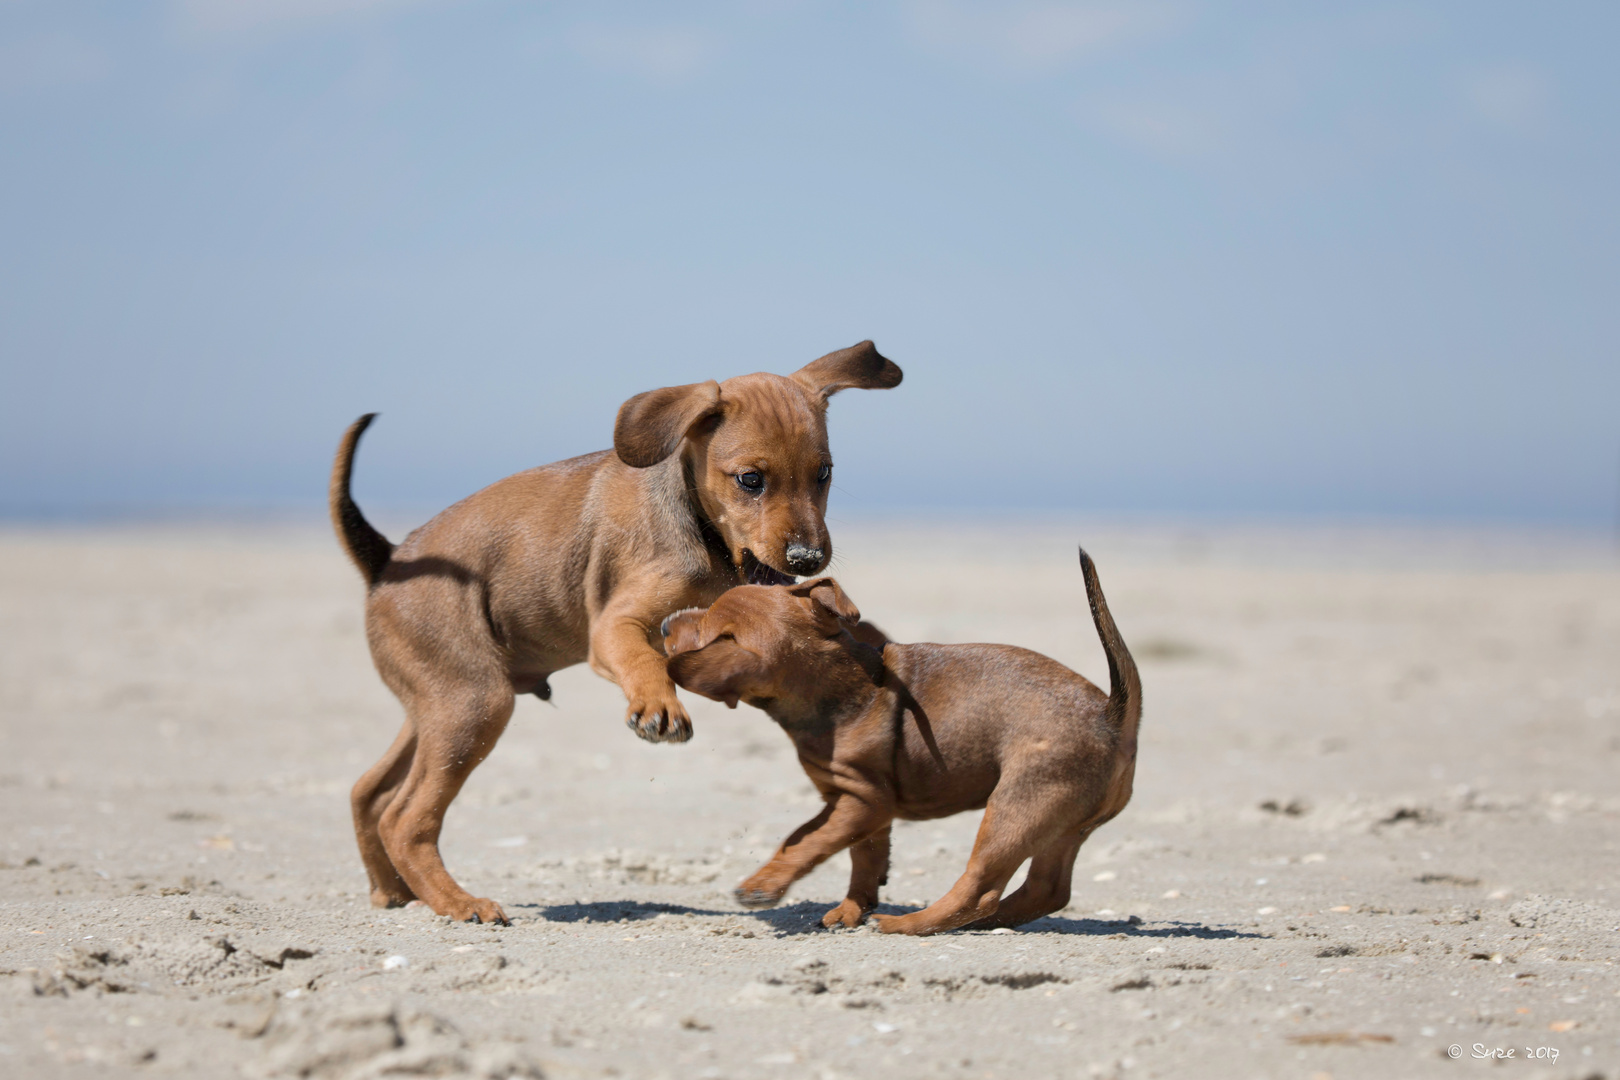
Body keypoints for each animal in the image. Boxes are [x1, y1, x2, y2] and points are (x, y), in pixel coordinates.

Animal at [325, 341, 900, 926]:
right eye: (750, 480)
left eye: (824, 473)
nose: (807, 559)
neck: (700, 525)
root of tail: (386, 562)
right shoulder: (612, 628)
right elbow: (642, 660)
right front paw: (659, 706)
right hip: (474, 702)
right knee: (405, 818)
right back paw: (459, 903)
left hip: (439, 704)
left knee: (369, 792)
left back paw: (391, 891)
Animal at [657, 553, 1140, 932]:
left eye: (700, 630)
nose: (663, 624)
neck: (839, 687)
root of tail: (1112, 716)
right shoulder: (854, 802)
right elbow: (848, 852)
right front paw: (852, 909)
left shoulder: (863, 803)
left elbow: (812, 843)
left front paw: (763, 886)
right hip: (1064, 824)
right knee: (1046, 891)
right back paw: (979, 923)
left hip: (1018, 808)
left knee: (979, 888)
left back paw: (910, 924)